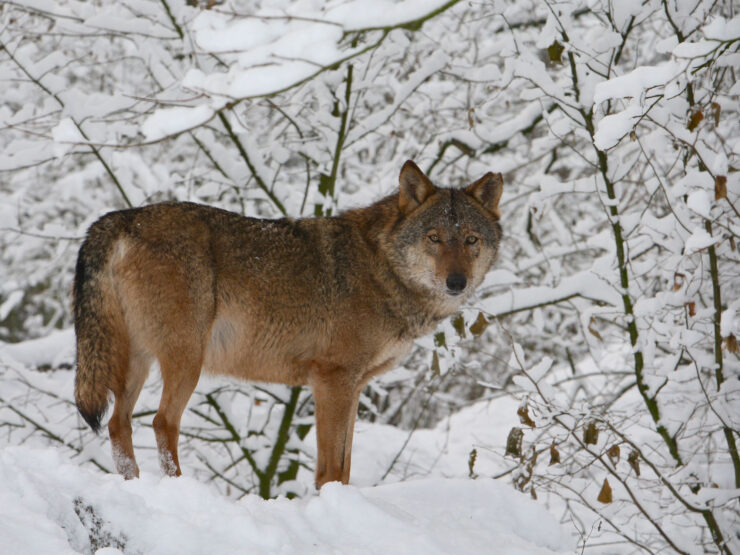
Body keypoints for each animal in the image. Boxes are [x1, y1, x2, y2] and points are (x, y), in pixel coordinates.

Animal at [73, 160, 502, 486]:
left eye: (471, 240)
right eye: (434, 238)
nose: (457, 282)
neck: (382, 267)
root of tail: (122, 217)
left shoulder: (353, 387)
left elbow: (344, 466)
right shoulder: (332, 380)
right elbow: (332, 468)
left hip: (138, 361)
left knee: (119, 424)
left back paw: (133, 484)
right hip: (185, 361)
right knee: (162, 423)